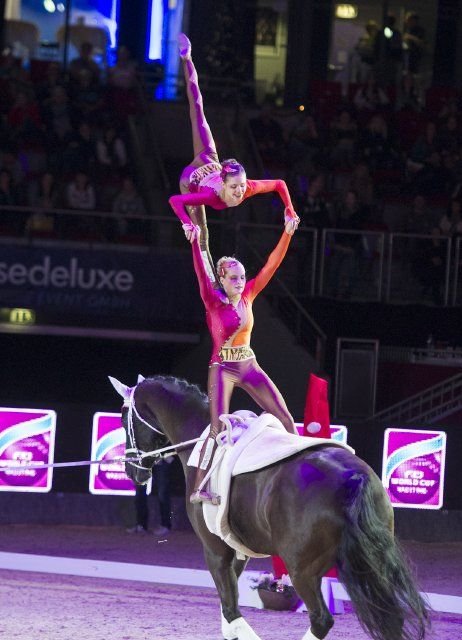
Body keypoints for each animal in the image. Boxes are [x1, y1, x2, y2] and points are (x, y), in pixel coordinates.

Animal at [109, 376, 430, 640]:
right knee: (392, 619)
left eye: (124, 417)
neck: (203, 440)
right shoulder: (236, 550)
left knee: (321, 620)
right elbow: (229, 606)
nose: (131, 471)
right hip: (368, 564)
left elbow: (231, 611)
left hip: (302, 570)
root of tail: (354, 477)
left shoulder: (215, 550)